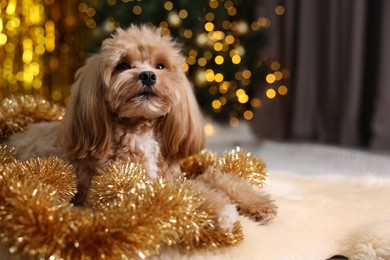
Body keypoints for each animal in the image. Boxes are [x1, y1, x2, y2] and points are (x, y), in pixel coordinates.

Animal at [6, 25, 278, 231]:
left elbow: (214, 177)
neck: (141, 130)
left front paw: (257, 203)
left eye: (160, 66)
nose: (147, 75)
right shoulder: (121, 187)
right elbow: (187, 192)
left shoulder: (171, 174)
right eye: (123, 65)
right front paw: (221, 210)